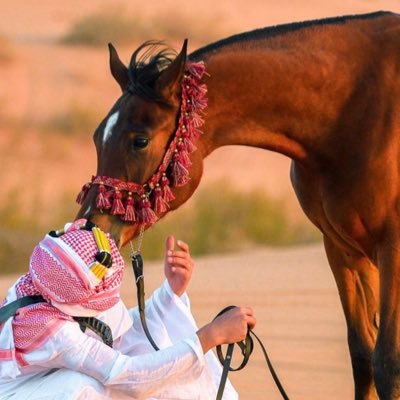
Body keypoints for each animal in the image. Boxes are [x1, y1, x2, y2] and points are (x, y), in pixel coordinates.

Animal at [77, 10, 400, 398]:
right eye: (98, 135)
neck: (353, 113)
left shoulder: (392, 247)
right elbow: (363, 355)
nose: (90, 225)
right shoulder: (342, 249)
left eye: (139, 140)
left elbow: (387, 363)